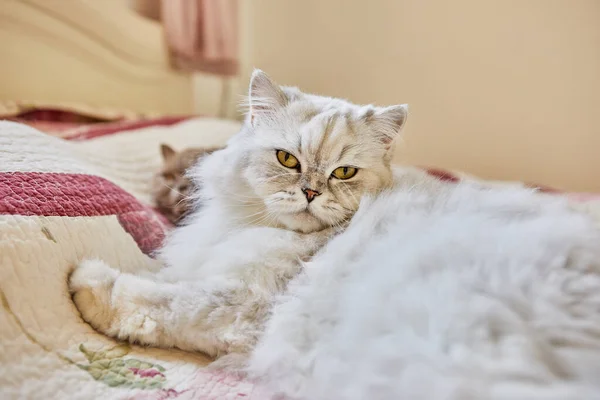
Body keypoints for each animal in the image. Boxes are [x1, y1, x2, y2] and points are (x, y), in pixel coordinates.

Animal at [69, 70, 600, 398]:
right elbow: (163, 276)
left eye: (344, 173)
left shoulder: (237, 304)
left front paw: (85, 282)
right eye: (287, 160)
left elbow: (154, 300)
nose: (309, 192)